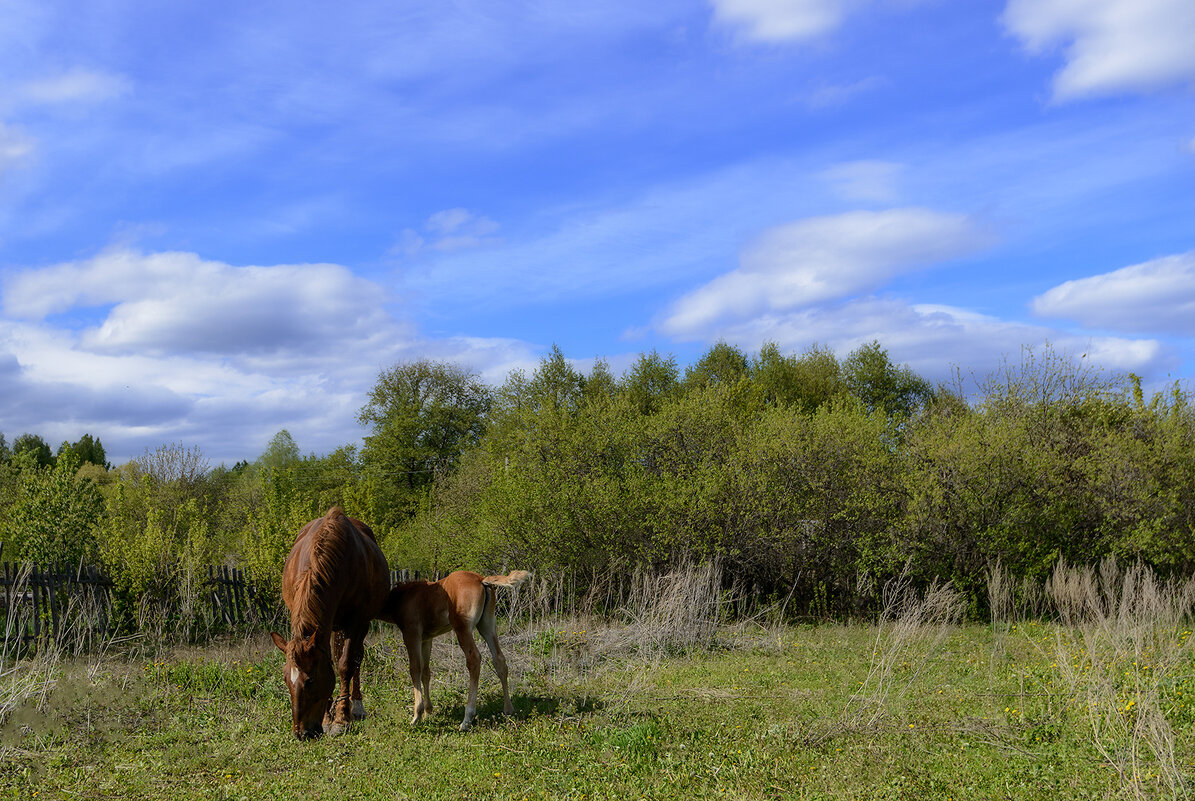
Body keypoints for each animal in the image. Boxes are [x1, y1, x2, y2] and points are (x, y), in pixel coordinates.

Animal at [271, 509, 387, 741]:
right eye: (286, 680)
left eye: (311, 680)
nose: (302, 733)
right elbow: (331, 661)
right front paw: (327, 719)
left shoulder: (356, 622)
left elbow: (345, 665)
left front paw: (341, 719)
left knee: (356, 659)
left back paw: (356, 706)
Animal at [380, 571, 530, 736]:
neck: (402, 597)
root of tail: (481, 579)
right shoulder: (427, 639)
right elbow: (426, 672)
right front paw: (428, 712)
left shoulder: (411, 635)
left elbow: (415, 669)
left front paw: (416, 716)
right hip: (487, 625)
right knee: (499, 659)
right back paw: (508, 710)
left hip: (462, 628)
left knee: (474, 659)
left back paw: (466, 719)